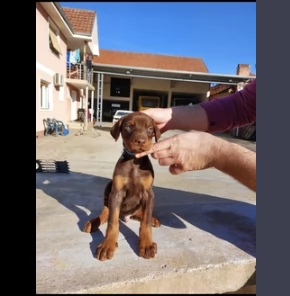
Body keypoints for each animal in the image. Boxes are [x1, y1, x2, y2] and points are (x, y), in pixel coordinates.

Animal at [83, 111, 161, 262]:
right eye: (129, 126)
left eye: (150, 129)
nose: (141, 141)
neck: (134, 161)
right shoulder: (116, 193)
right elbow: (112, 223)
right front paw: (107, 245)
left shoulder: (149, 194)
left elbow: (146, 222)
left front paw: (146, 244)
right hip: (109, 187)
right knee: (106, 212)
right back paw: (93, 222)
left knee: (142, 214)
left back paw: (153, 220)